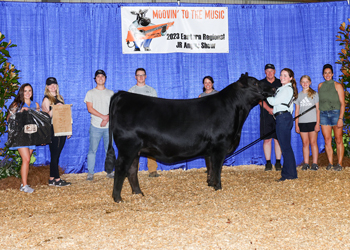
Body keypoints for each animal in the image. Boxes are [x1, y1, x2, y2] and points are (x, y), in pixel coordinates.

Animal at [105, 73, 274, 202]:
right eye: (255, 82)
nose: (273, 87)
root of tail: (122, 95)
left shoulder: (210, 150)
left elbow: (210, 167)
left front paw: (210, 184)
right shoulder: (220, 146)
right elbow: (217, 168)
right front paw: (218, 187)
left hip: (136, 149)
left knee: (132, 170)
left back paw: (138, 193)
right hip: (128, 146)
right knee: (121, 168)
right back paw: (118, 198)